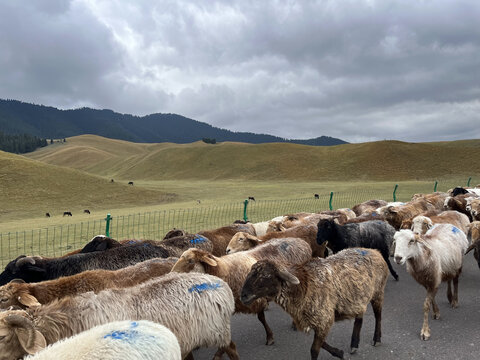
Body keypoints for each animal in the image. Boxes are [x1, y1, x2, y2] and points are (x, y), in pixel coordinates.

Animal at [171, 238, 314, 350]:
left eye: (190, 261)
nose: (171, 274)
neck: (224, 270)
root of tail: (301, 241)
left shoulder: (254, 299)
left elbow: (261, 318)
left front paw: (270, 337)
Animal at [242, 248, 388, 360]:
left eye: (265, 276)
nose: (243, 295)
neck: (303, 286)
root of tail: (375, 251)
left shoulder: (324, 318)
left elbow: (314, 349)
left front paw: (338, 353)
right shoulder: (314, 320)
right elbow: (321, 343)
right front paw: (339, 353)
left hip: (378, 292)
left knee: (378, 316)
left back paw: (377, 339)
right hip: (358, 298)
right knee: (359, 317)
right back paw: (354, 344)